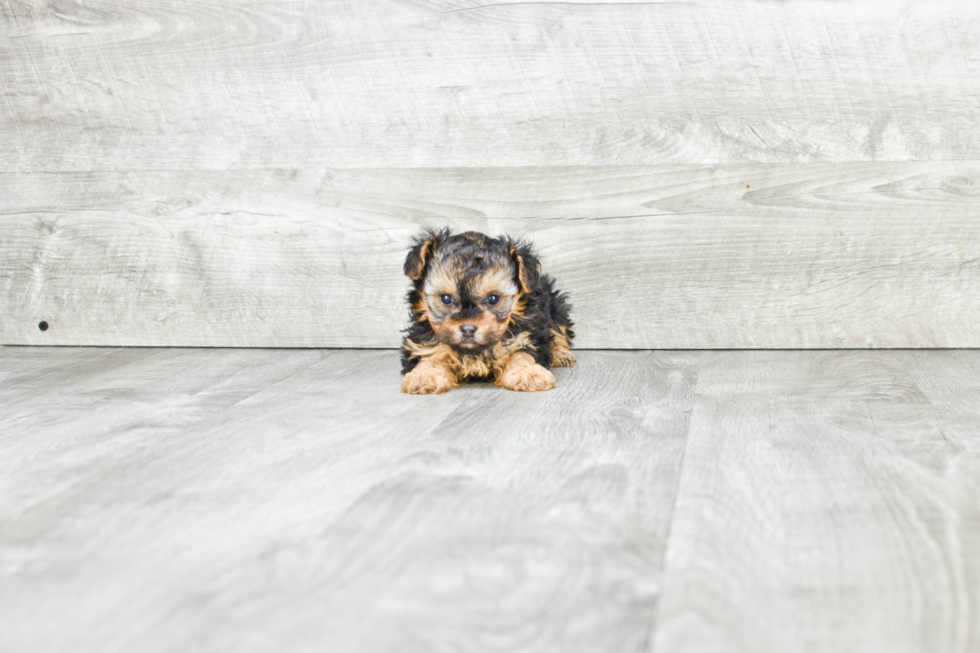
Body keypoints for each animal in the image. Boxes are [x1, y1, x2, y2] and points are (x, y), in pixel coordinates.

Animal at [400, 228, 576, 392]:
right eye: (446, 298)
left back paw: (561, 354)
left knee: (559, 330)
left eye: (493, 299)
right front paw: (424, 375)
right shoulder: (424, 341)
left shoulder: (527, 336)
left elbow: (521, 354)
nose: (468, 329)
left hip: (555, 305)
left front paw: (527, 373)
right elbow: (430, 355)